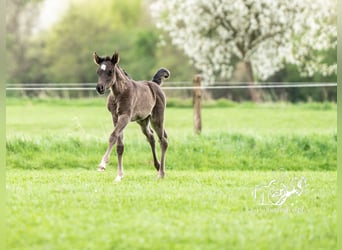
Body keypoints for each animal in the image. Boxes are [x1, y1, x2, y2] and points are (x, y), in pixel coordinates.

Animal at [93, 51, 170, 182]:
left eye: (110, 71)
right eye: (98, 71)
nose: (100, 88)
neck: (119, 93)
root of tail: (154, 84)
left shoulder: (125, 116)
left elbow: (113, 136)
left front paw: (102, 165)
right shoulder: (115, 117)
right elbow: (119, 146)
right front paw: (119, 175)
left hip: (157, 118)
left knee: (163, 140)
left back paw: (161, 173)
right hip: (143, 121)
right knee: (151, 137)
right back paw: (158, 166)